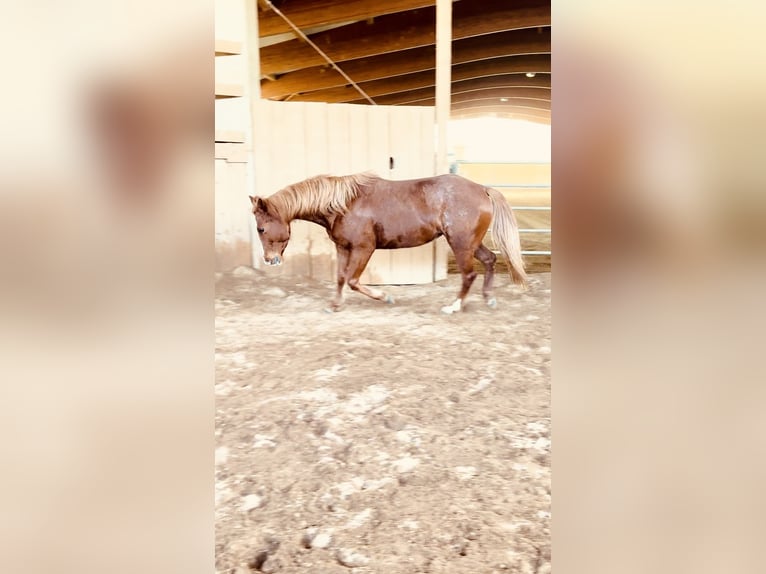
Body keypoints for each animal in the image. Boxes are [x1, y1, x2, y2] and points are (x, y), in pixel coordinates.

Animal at [252, 174, 528, 316]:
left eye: (261, 228)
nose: (269, 259)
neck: (344, 204)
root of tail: (483, 189)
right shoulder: (343, 248)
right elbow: (341, 278)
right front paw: (335, 305)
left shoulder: (364, 248)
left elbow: (353, 280)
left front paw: (385, 297)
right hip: (471, 243)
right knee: (490, 260)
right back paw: (488, 298)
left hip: (460, 244)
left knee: (469, 274)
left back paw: (454, 306)